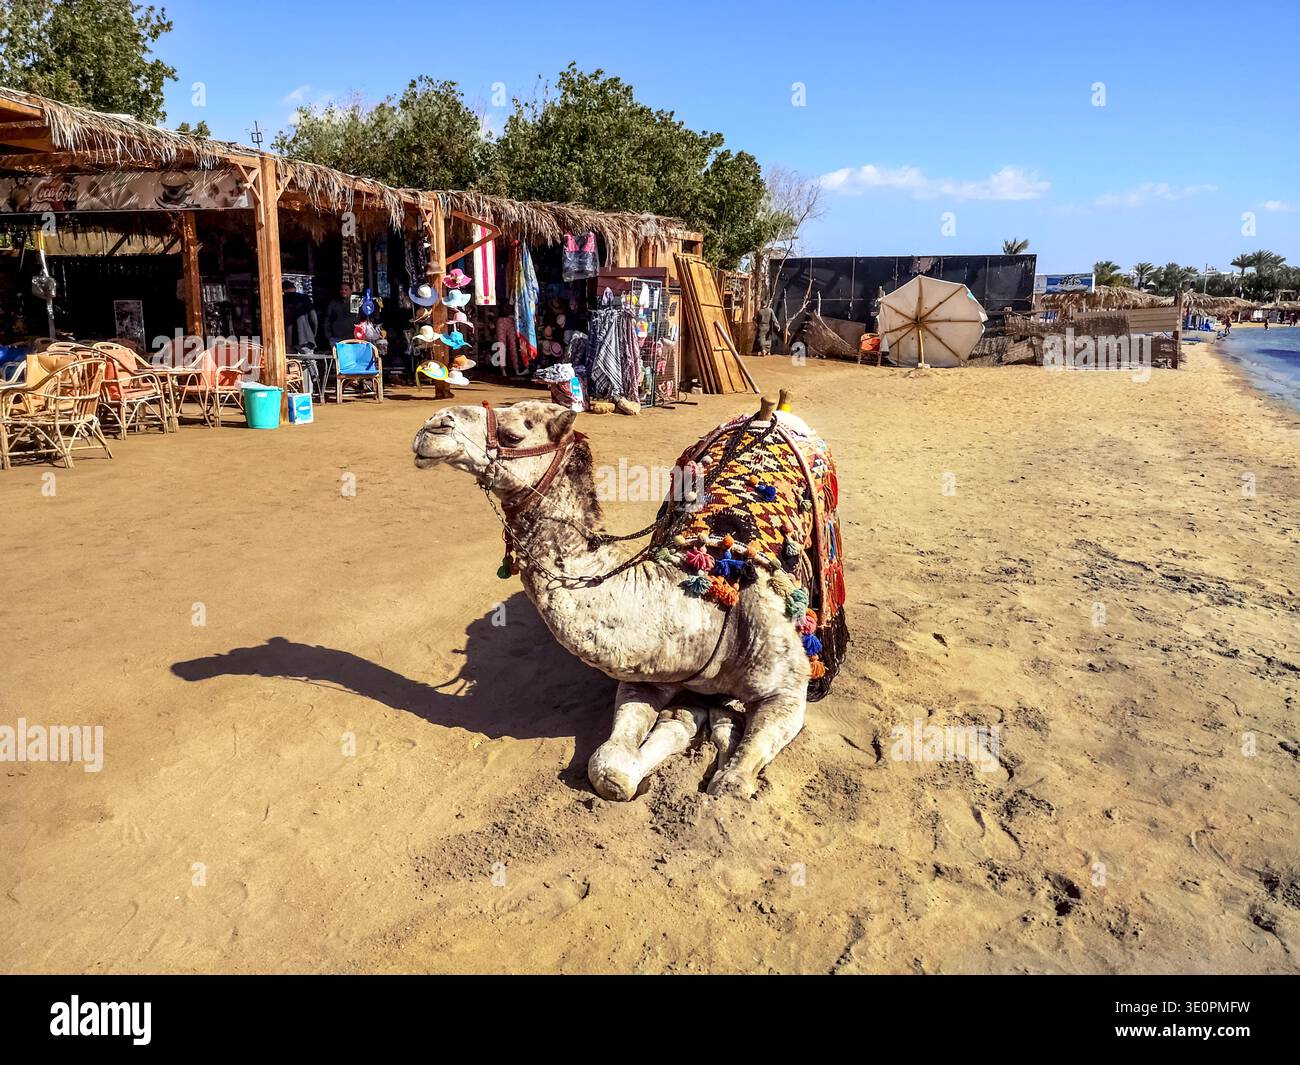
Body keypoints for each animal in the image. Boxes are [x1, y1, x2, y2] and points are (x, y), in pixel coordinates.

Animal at [411, 397, 848, 800]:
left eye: (514, 434)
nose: (432, 426)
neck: (707, 600)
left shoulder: (786, 690)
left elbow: (730, 785)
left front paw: (721, 748)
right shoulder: (645, 675)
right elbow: (609, 769)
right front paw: (684, 721)